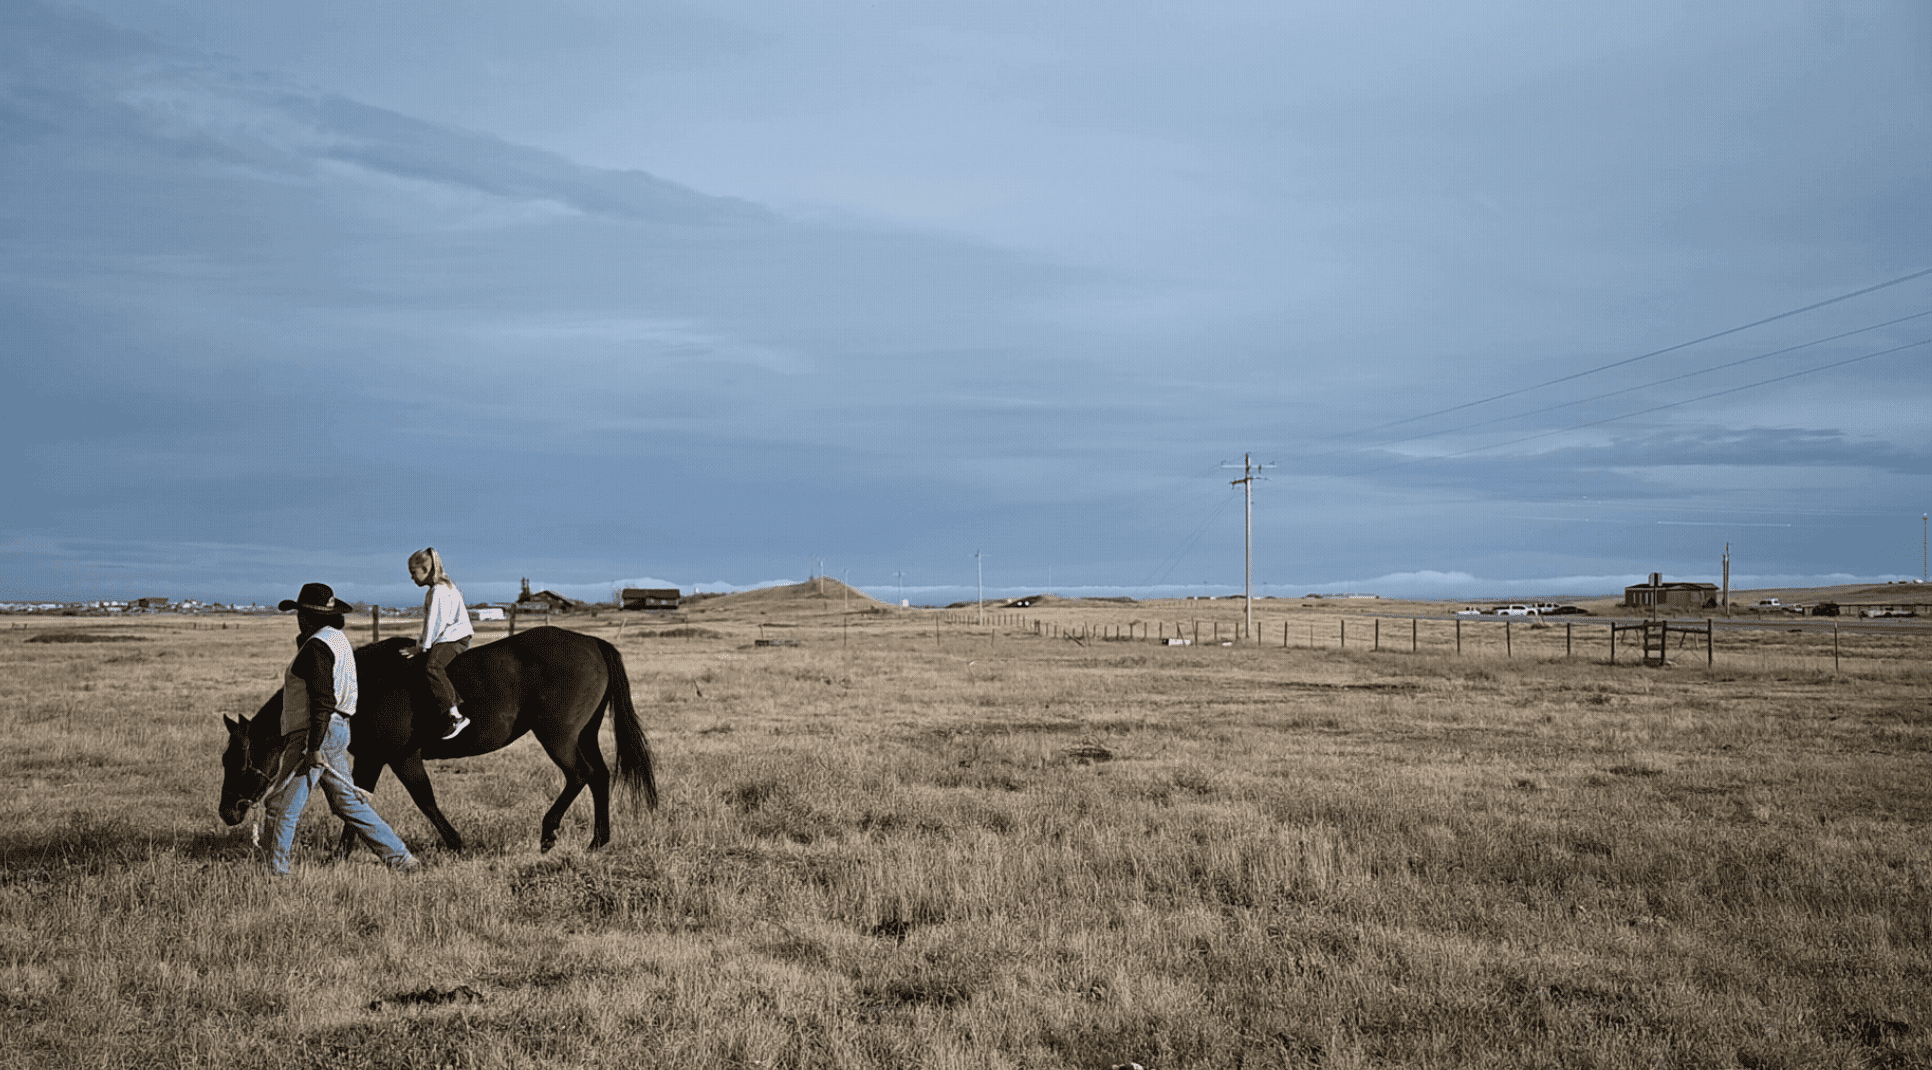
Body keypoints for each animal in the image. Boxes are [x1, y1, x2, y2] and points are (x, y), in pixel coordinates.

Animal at [219, 626, 658, 854]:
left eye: (236, 760)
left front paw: (457, 844)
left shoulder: (399, 757)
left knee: (580, 775)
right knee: (599, 776)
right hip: (584, 734)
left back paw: (550, 833)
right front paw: (345, 851)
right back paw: (598, 841)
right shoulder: (372, 759)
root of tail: (593, 642)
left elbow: (424, 801)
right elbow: (356, 802)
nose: (227, 812)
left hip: (559, 738)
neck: (364, 684)